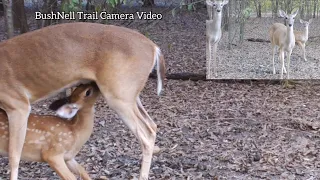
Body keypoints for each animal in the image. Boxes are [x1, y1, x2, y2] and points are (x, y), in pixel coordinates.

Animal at [0, 22, 165, 180]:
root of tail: (154, 47)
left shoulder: (17, 103)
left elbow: (14, 155)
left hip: (119, 93)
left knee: (146, 133)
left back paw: (142, 176)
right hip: (129, 93)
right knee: (151, 124)